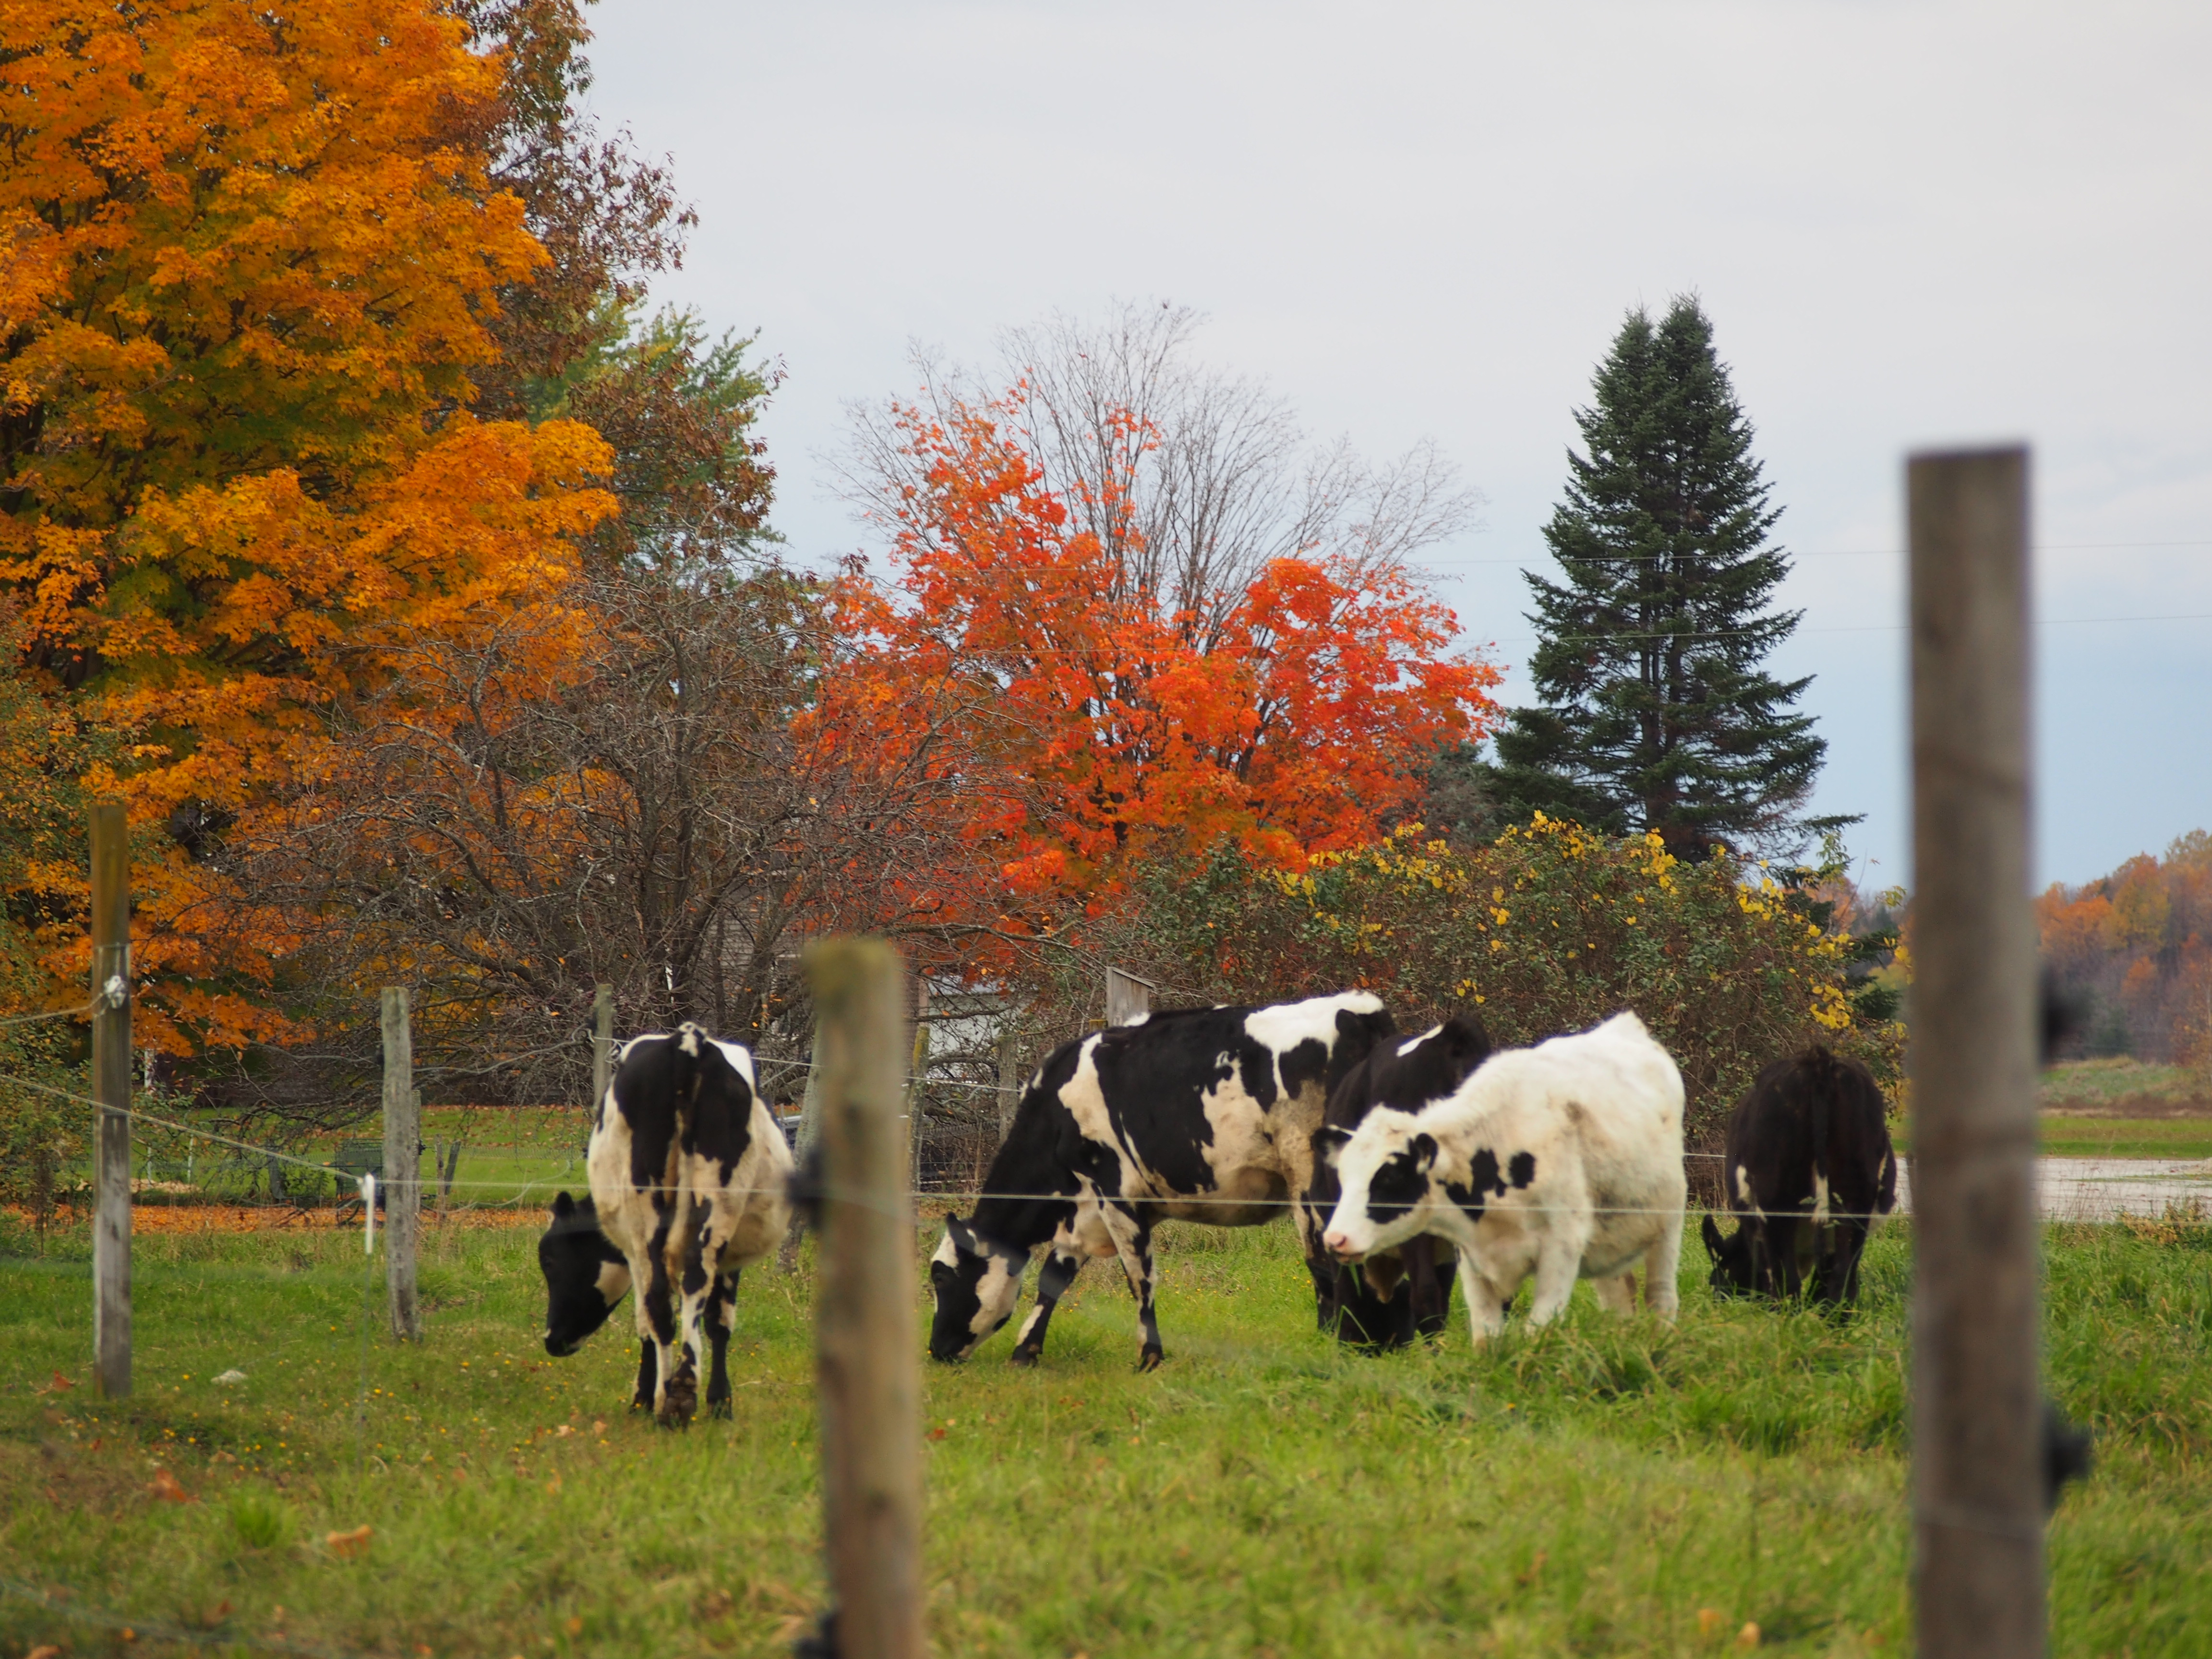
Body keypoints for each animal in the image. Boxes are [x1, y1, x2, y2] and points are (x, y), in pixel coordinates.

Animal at [537, 1024, 792, 1425]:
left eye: (548, 1260)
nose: (552, 1340)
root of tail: (686, 1041)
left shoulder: (633, 1252)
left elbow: (650, 1323)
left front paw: (643, 1398)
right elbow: (718, 1321)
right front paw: (719, 1404)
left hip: (647, 1215)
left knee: (659, 1303)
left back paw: (667, 1401)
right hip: (714, 1207)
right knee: (693, 1284)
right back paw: (681, 1396)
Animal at [929, 991, 1396, 1371]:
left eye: (940, 1278)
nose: (935, 1350)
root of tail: (1360, 1011)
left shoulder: (1114, 1192)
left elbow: (1140, 1278)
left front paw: (1149, 1357)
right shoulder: (1088, 1209)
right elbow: (1054, 1277)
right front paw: (1025, 1351)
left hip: (1308, 1172)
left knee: (1326, 1260)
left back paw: (1339, 1345)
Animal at [1699, 1045, 1898, 1309]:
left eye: (1717, 1279)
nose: (1719, 1304)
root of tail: (1818, 1059)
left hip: (1777, 1204)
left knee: (1787, 1283)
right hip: (1855, 1202)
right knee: (1841, 1281)